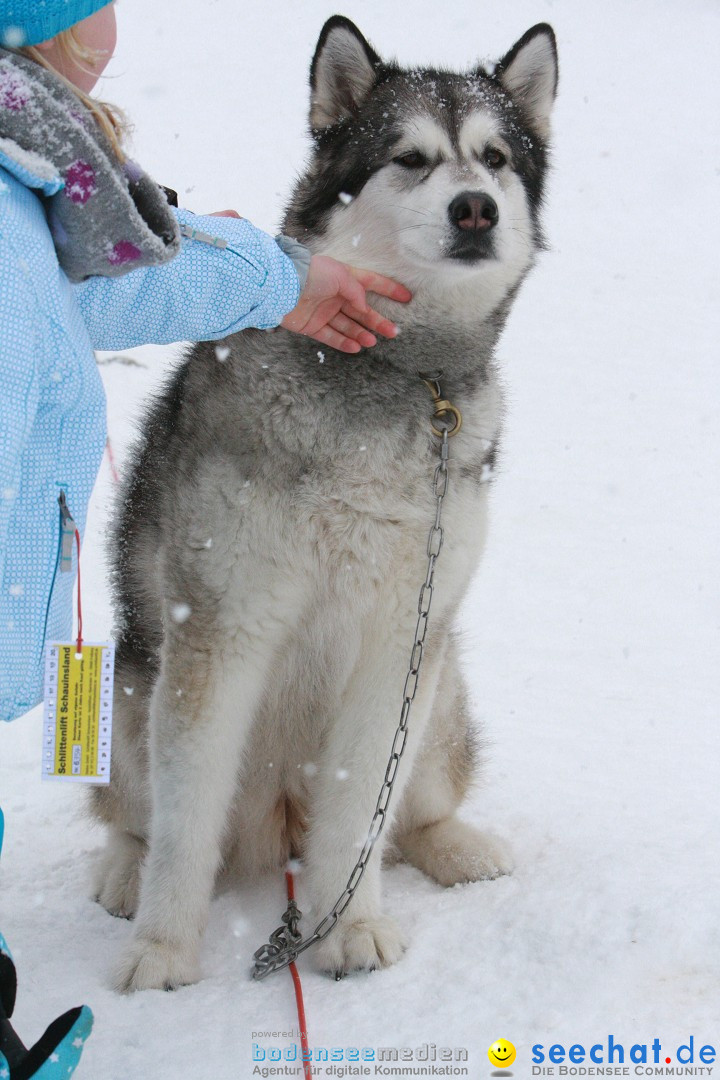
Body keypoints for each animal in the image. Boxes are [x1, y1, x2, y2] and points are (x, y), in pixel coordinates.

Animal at [92, 19, 561, 993]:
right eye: (410, 158)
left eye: (496, 159)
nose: (475, 209)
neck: (396, 373)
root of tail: (277, 827)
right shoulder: (220, 628)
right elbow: (185, 826)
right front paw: (163, 949)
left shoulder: (401, 634)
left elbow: (361, 814)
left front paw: (351, 927)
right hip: (134, 681)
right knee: (133, 812)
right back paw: (124, 870)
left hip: (442, 686)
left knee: (410, 811)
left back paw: (455, 845)